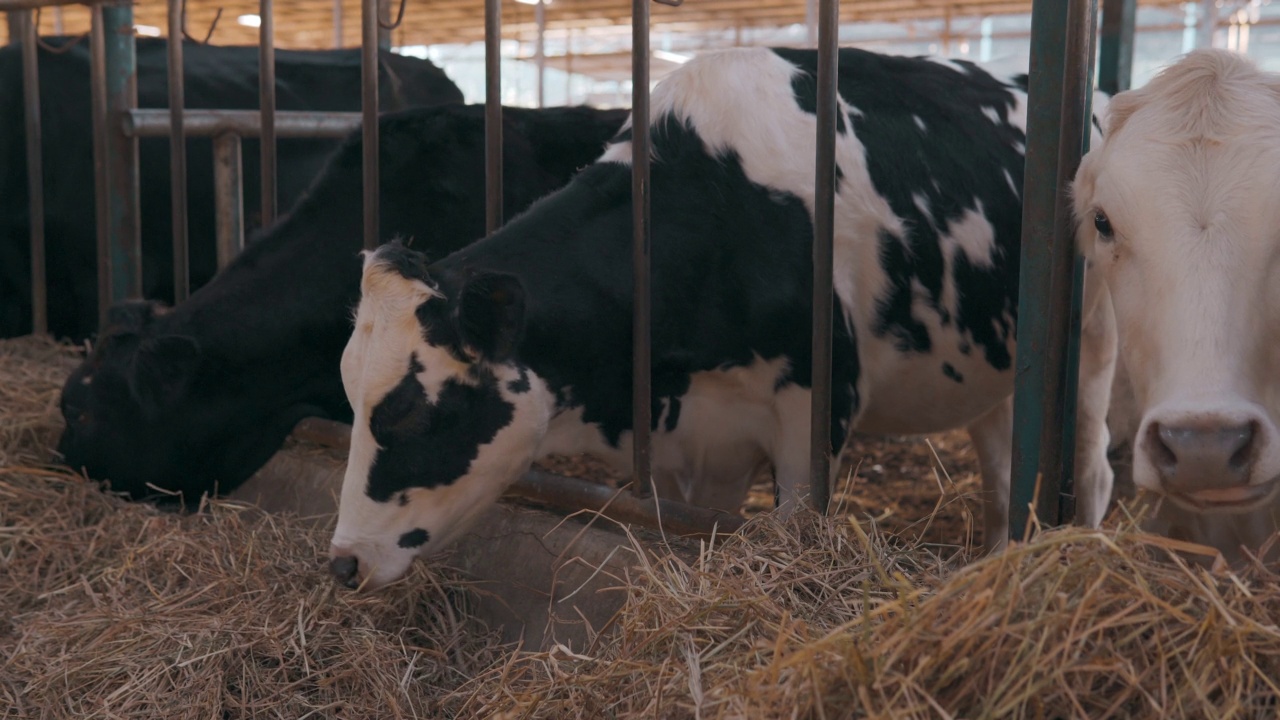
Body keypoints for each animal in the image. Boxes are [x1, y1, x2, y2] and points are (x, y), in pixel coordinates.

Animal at [332, 49, 1121, 589]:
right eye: (350, 396)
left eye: (410, 412)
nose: (341, 562)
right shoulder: (694, 438)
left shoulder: (815, 411)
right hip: (996, 366)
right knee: (1003, 470)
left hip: (1092, 347)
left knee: (1092, 465)